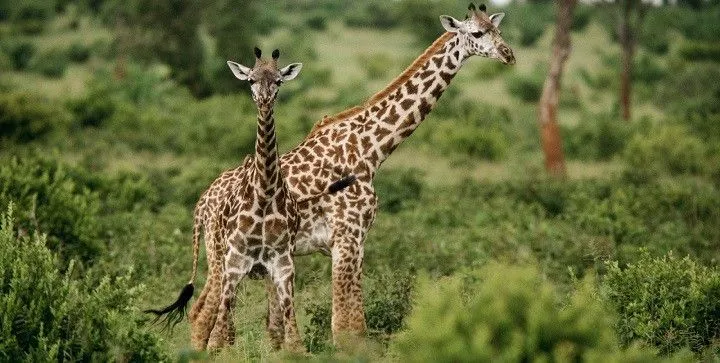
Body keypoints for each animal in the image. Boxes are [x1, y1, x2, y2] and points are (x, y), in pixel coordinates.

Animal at [147, 47, 358, 352]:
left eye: (278, 81)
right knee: (216, 322)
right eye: (251, 80)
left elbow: (294, 338)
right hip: (220, 263)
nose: (264, 100)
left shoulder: (282, 264)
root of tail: (201, 203)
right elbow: (218, 336)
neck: (266, 192)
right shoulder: (236, 262)